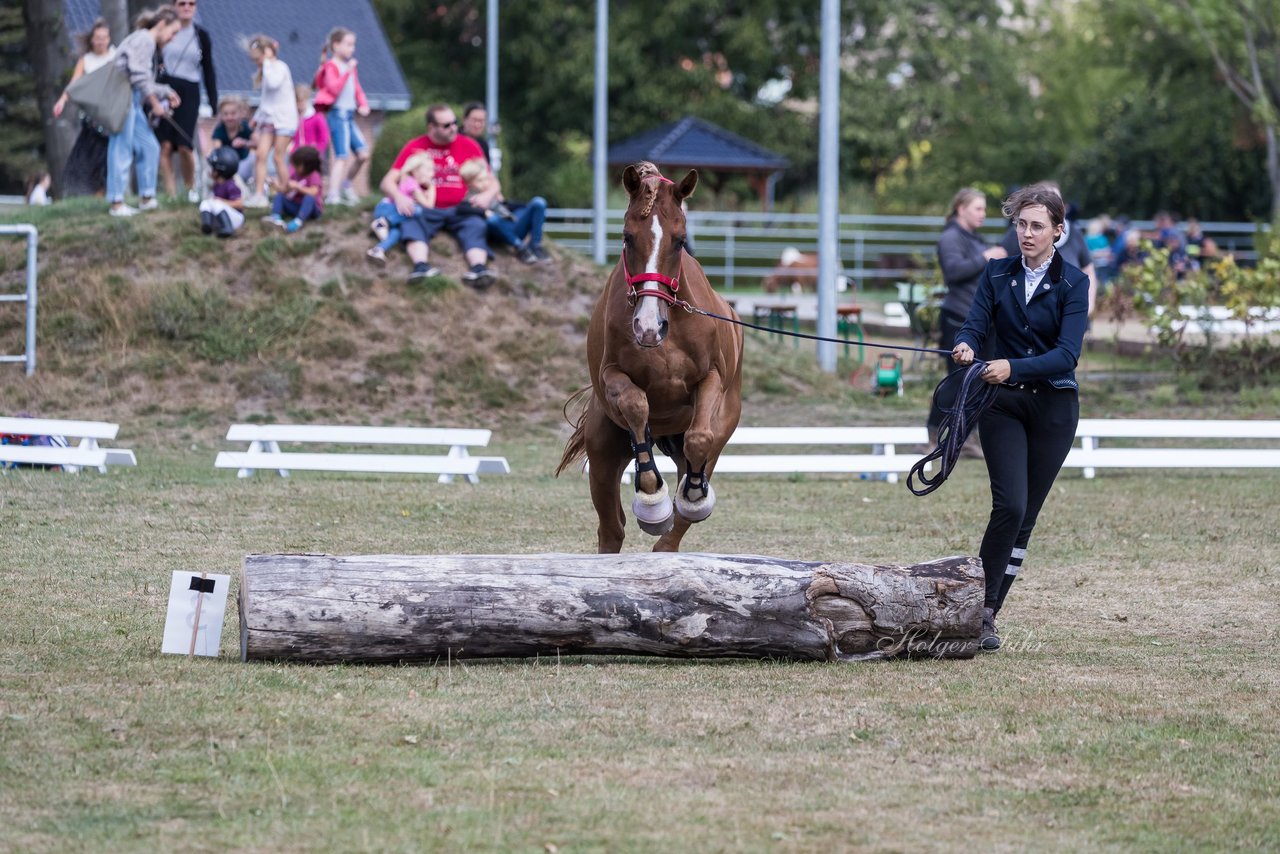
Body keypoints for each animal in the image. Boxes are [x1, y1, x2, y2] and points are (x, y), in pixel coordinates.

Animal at [555, 162, 747, 550]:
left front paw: (692, 496)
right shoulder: (611, 375)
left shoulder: (712, 379)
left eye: (680, 240)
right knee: (612, 528)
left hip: (718, 432)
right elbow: (635, 405)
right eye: (628, 237)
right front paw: (651, 497)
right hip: (603, 453)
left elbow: (699, 438)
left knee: (674, 524)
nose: (648, 327)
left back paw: (688, 501)